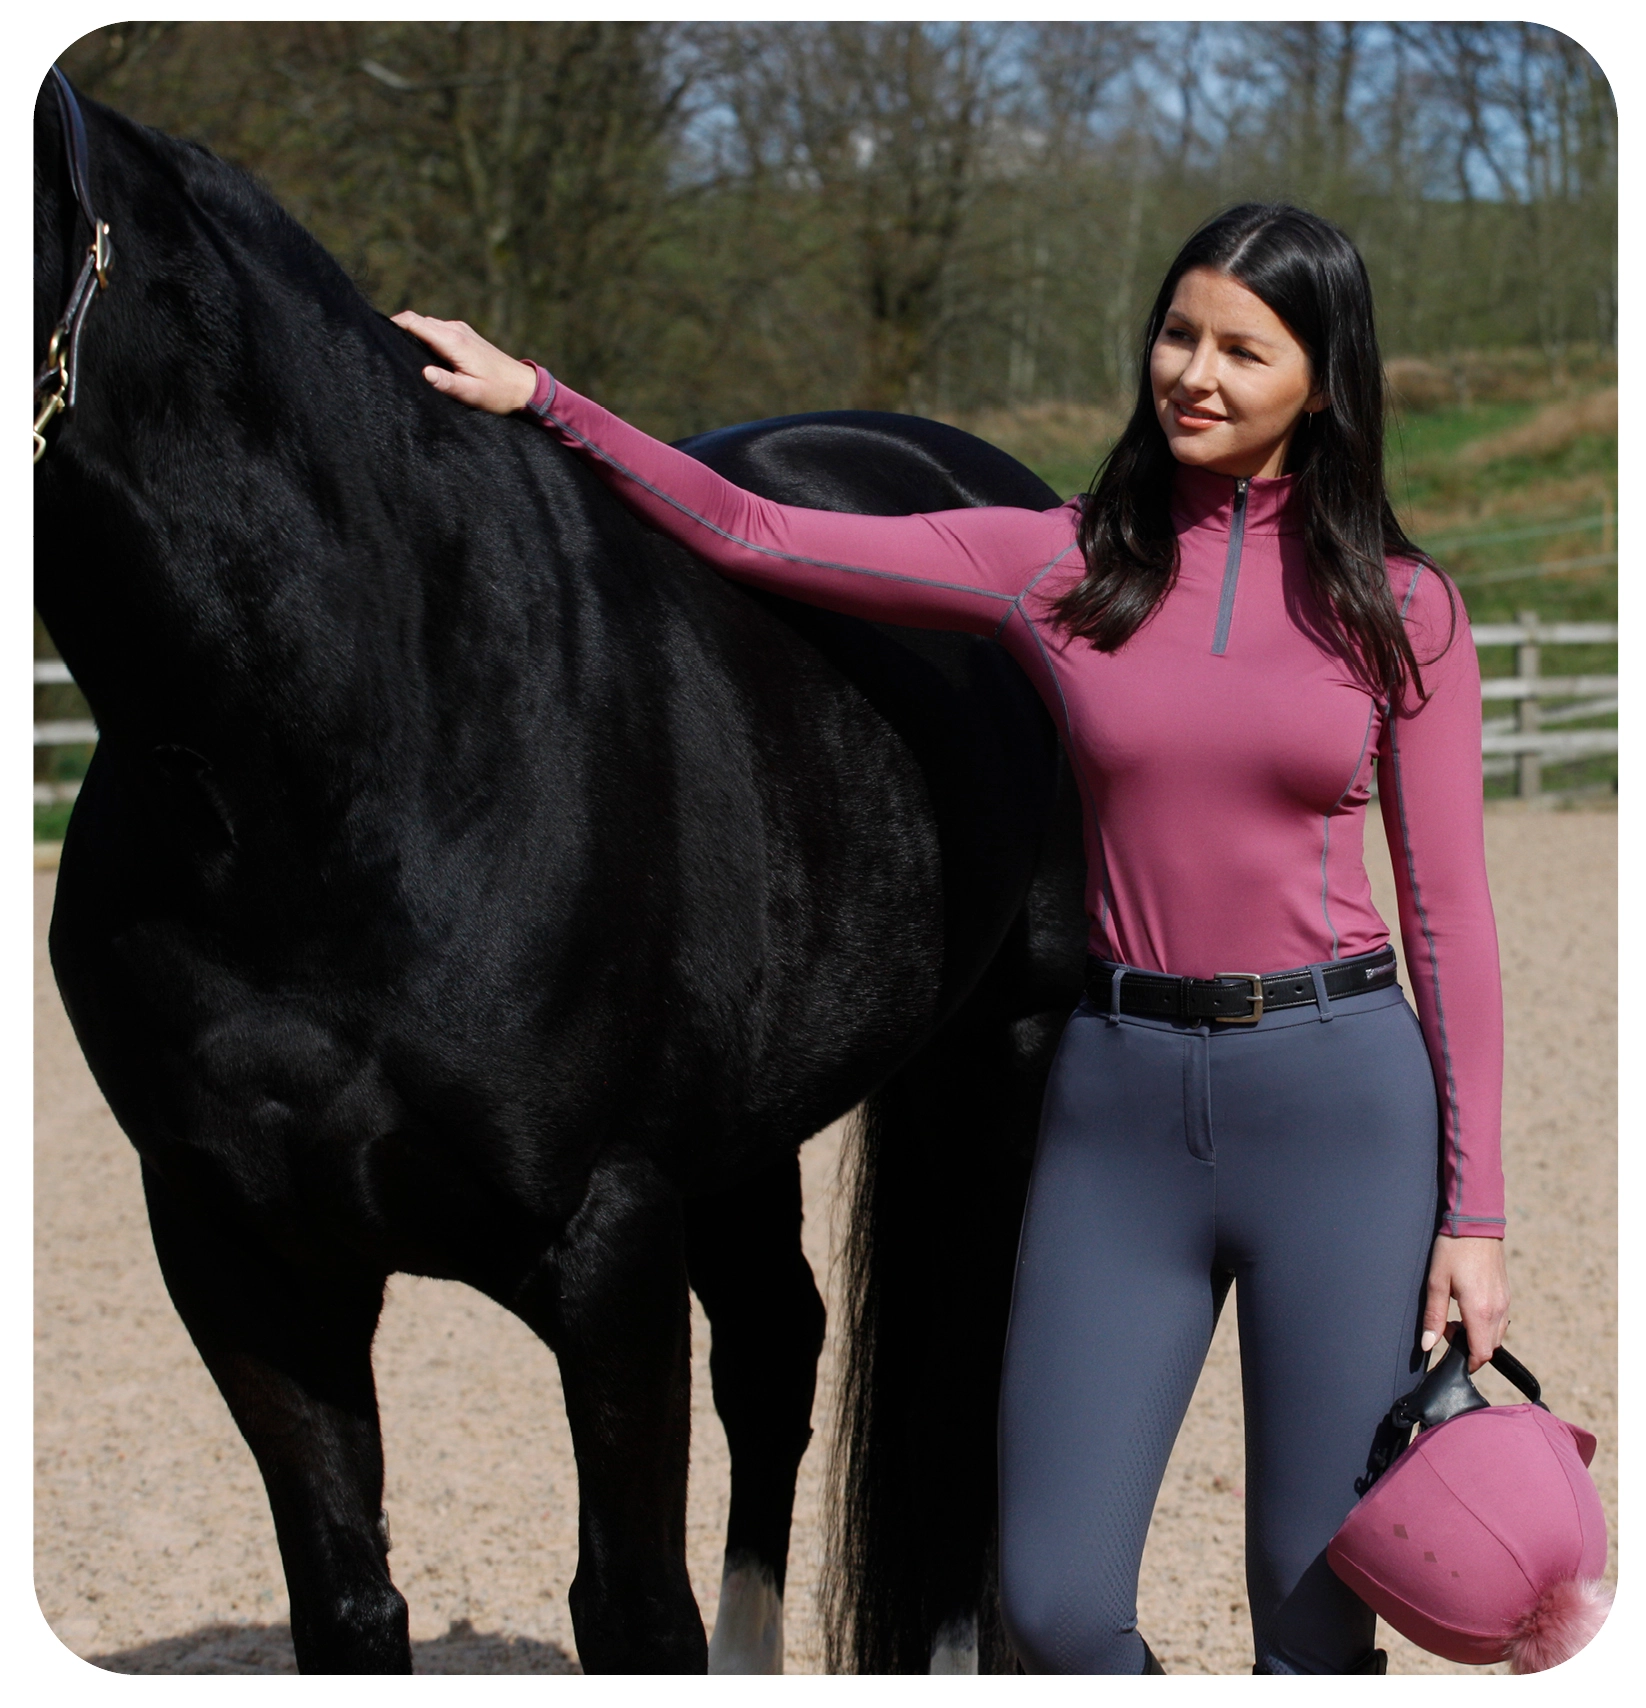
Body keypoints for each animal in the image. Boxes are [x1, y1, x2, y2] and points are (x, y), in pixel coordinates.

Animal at [32, 76, 1085, 1667]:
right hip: (753, 1128)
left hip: (998, 1058)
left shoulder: (606, 1250)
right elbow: (348, 1601)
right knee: (778, 1348)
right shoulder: (247, 1262)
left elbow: (629, 1605)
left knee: (956, 1399)